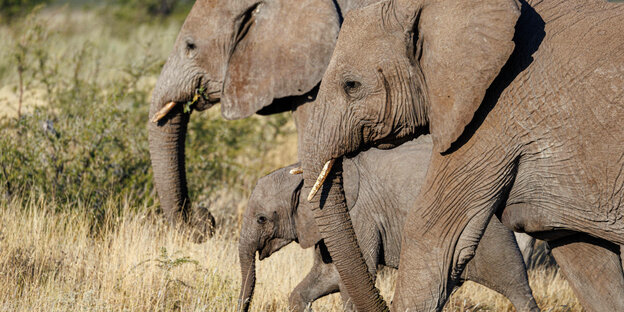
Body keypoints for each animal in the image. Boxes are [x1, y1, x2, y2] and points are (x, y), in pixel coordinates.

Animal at [236, 136, 540, 312]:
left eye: (263, 218)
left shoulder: (360, 217)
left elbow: (353, 277)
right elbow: (328, 274)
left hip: (492, 235)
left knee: (516, 286)